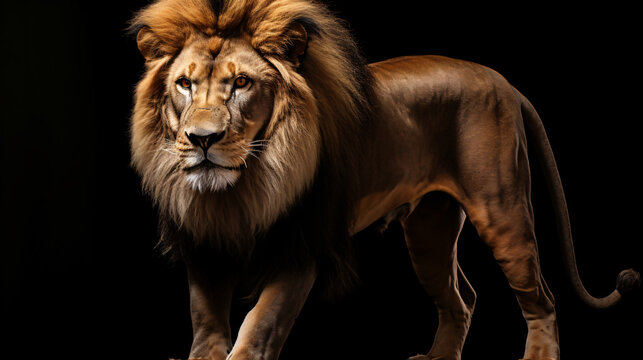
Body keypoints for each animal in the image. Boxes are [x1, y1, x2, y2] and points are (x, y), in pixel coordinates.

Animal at [128, 0, 640, 360]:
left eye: (241, 84)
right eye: (184, 84)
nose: (202, 139)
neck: (242, 190)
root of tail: (503, 81)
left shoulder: (302, 249)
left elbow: (257, 328)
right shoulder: (204, 248)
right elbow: (206, 329)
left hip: (502, 210)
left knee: (541, 298)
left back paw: (536, 356)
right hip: (430, 230)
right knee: (461, 299)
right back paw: (437, 358)